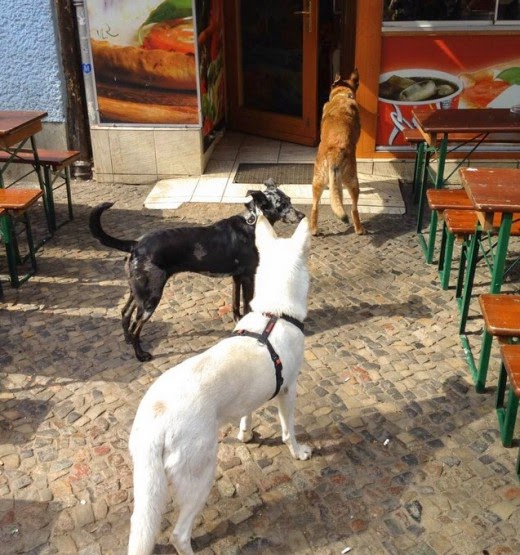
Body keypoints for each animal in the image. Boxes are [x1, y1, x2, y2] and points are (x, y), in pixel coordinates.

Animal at [89, 178, 304, 360]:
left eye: (290, 200)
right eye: (283, 204)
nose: (302, 216)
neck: (253, 224)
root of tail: (135, 244)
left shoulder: (237, 277)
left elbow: (236, 305)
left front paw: (238, 322)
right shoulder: (248, 277)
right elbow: (247, 305)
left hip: (138, 293)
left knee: (125, 313)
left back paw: (126, 339)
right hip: (151, 298)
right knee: (136, 326)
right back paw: (141, 355)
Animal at [128, 216, 312, 555]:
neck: (274, 313)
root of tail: (156, 419)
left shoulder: (251, 395)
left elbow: (247, 414)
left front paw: (246, 434)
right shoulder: (288, 390)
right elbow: (288, 430)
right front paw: (298, 451)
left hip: (147, 481)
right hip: (201, 474)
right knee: (179, 534)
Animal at [308, 68, 366, 236]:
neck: (342, 96)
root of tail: (334, 154)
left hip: (318, 182)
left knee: (316, 207)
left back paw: (314, 230)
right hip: (353, 182)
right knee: (353, 209)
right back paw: (359, 229)